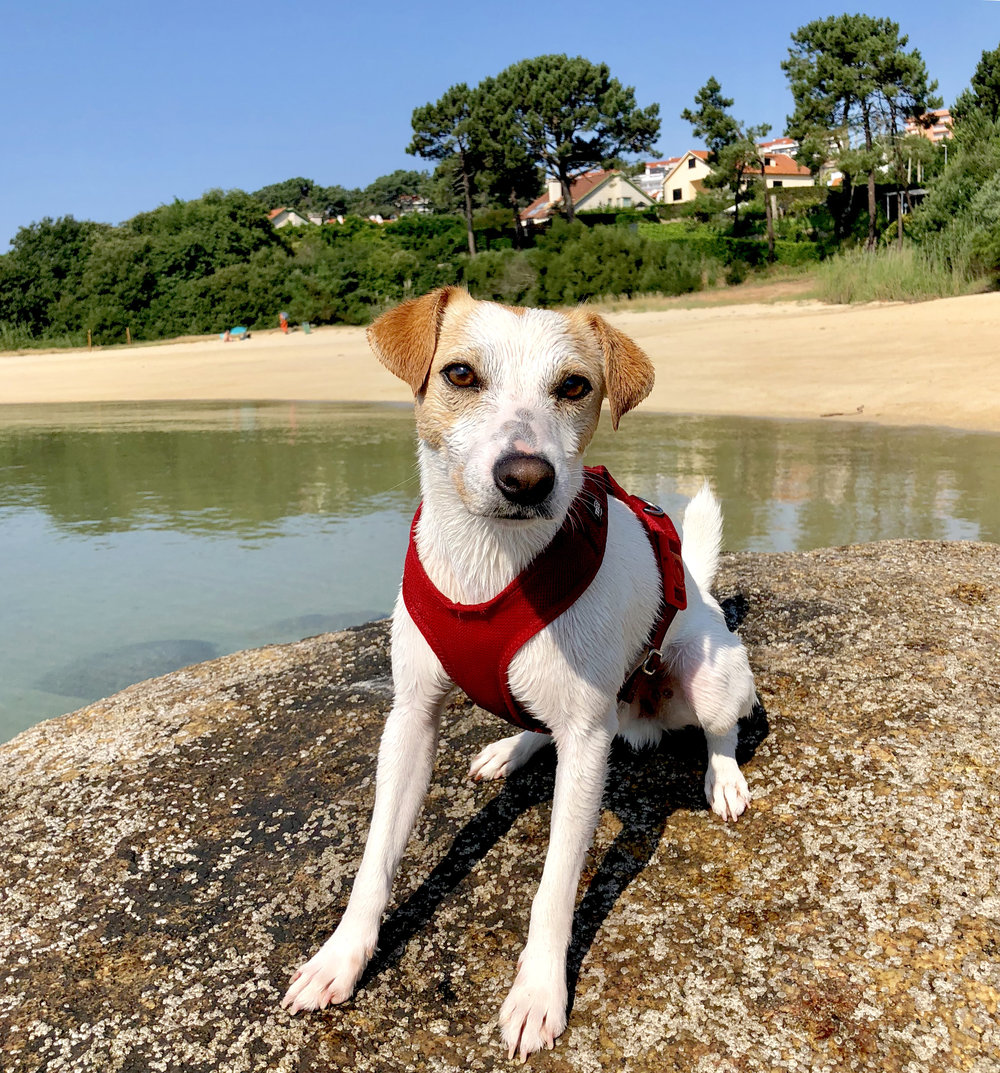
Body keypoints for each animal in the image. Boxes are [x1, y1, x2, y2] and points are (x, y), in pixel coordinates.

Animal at [276, 289, 755, 1060]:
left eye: (575, 386)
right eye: (460, 374)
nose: (527, 477)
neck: (493, 563)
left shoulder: (588, 744)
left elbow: (555, 886)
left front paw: (537, 994)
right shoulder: (410, 719)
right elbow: (375, 860)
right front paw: (341, 957)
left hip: (705, 676)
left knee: (719, 730)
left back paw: (724, 777)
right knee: (537, 723)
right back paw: (511, 748)